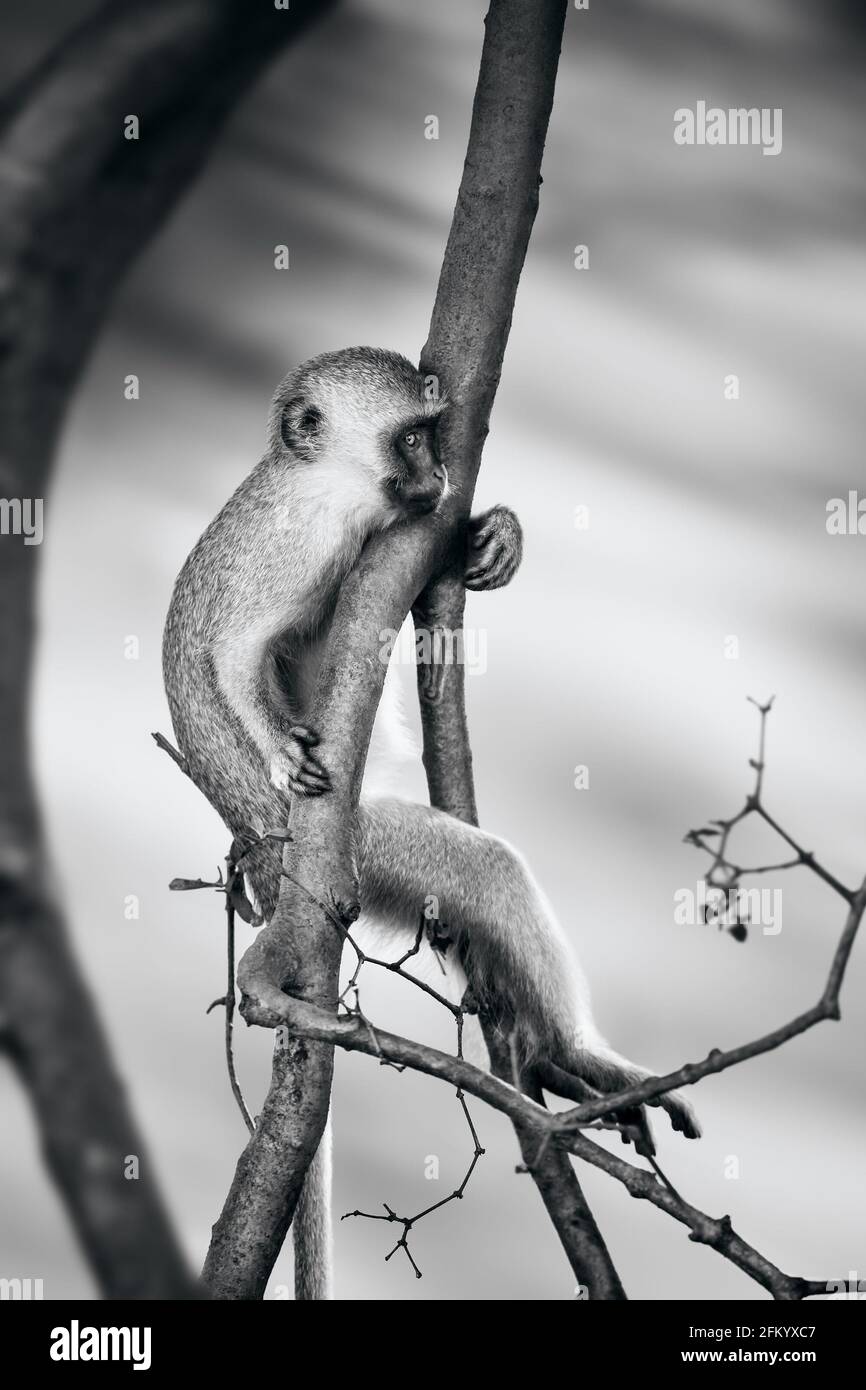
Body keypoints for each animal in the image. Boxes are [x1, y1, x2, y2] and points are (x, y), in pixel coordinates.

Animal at [162, 346, 699, 1298]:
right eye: (408, 439)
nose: (440, 475)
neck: (325, 479)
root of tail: (265, 864)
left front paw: (495, 533)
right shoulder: (299, 540)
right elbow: (235, 653)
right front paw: (279, 751)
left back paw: (557, 1061)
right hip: (363, 848)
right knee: (485, 871)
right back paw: (577, 1056)